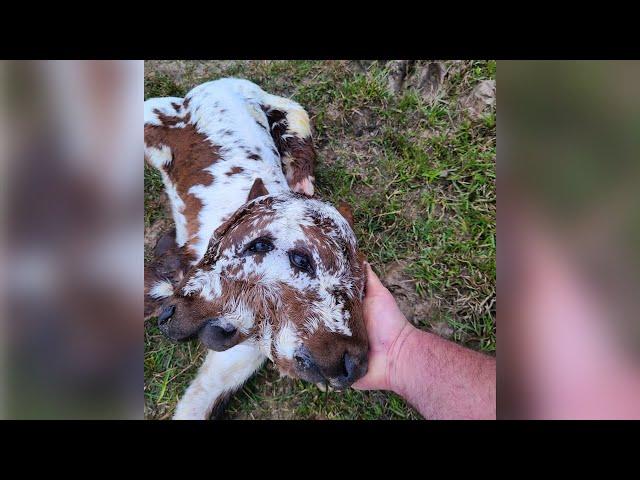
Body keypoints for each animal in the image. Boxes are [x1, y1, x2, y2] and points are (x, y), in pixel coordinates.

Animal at [144, 77, 364, 418]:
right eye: (301, 260)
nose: (352, 364)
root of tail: (226, 82)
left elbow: (203, 398)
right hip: (155, 114)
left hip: (289, 117)